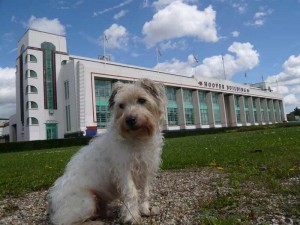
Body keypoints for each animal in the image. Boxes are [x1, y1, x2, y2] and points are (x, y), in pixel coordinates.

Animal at [48, 78, 168, 224]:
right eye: (121, 105)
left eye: (142, 100)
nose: (130, 120)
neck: (138, 138)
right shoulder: (124, 171)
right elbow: (132, 192)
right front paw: (131, 217)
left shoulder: (147, 168)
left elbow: (145, 192)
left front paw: (145, 209)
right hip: (87, 201)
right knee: (67, 221)